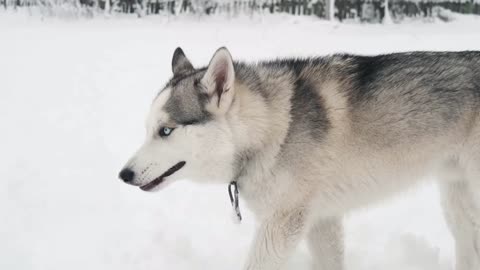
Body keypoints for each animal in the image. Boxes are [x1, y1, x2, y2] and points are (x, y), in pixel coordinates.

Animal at [119, 47, 480, 268]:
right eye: (148, 129)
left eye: (166, 131)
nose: (124, 175)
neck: (271, 128)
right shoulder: (321, 221)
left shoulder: (282, 224)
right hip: (457, 201)